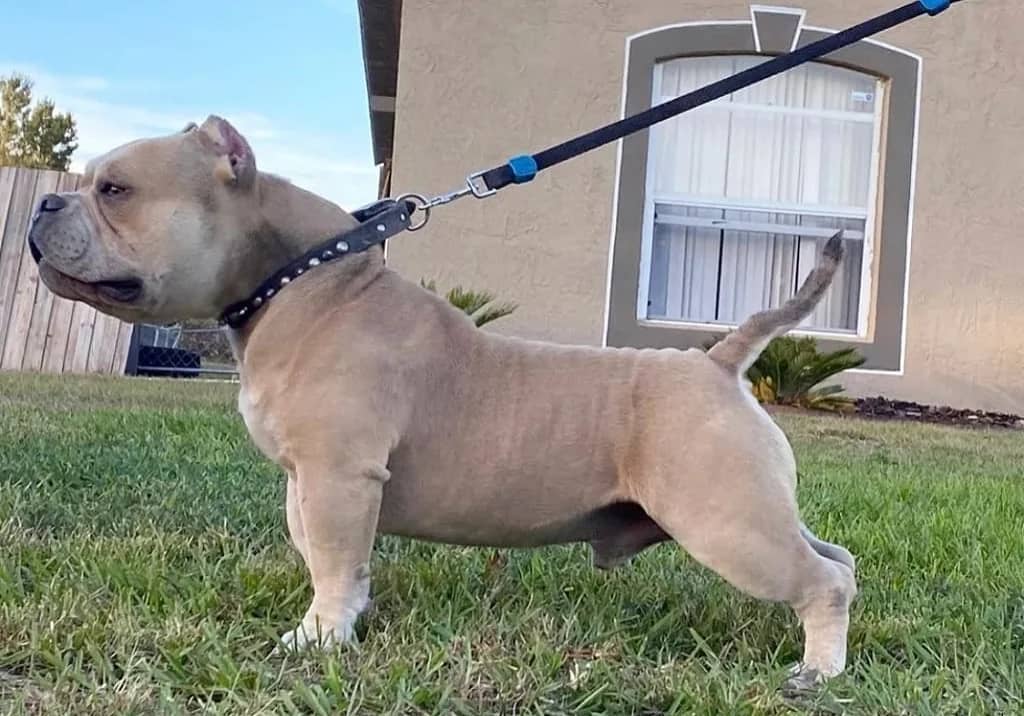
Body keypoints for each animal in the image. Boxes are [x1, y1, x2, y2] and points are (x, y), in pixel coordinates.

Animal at [25, 114, 856, 692]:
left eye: (115, 189)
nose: (42, 203)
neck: (302, 279)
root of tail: (717, 364)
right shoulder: (310, 483)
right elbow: (336, 560)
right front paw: (343, 623)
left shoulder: (338, 478)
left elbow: (331, 560)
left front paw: (317, 639)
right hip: (754, 512)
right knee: (837, 558)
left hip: (727, 525)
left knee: (824, 582)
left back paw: (818, 673)